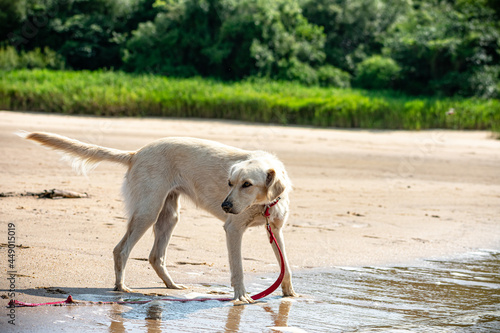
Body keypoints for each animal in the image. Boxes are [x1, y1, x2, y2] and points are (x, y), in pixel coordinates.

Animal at [20, 131, 296, 302]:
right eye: (230, 183)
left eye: (247, 184)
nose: (225, 205)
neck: (265, 203)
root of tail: (137, 153)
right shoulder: (233, 229)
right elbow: (237, 268)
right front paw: (241, 297)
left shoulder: (275, 231)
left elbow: (286, 267)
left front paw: (290, 294)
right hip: (148, 211)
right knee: (121, 249)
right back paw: (121, 287)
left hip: (169, 216)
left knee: (155, 256)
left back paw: (171, 286)